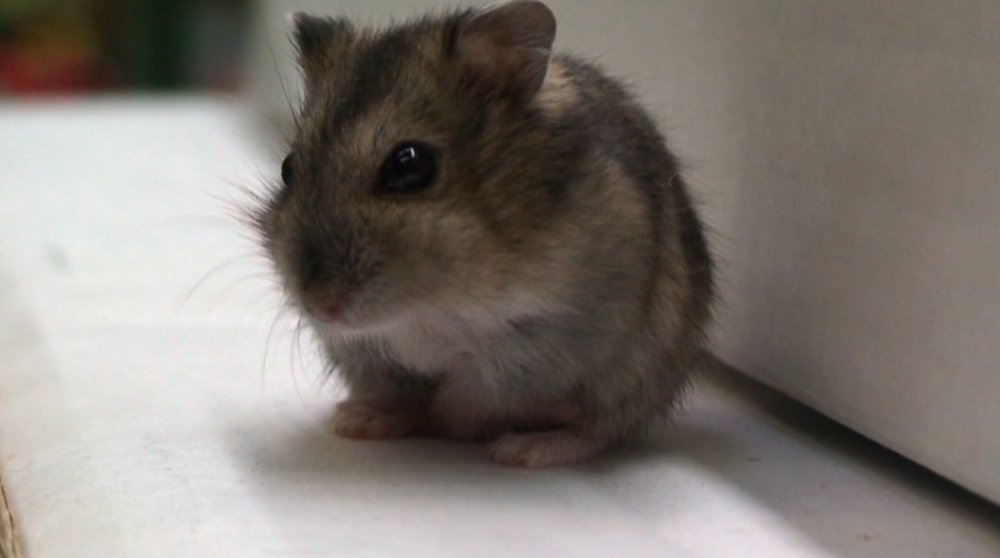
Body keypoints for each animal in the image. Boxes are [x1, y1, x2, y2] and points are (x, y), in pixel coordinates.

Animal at [254, 0, 714, 468]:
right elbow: (407, 395)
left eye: (409, 164)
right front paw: (357, 420)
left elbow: (469, 396)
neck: (429, 307)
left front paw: (465, 427)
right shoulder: (359, 350)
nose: (322, 309)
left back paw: (526, 448)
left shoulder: (540, 345)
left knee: (599, 431)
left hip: (640, 376)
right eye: (287, 168)